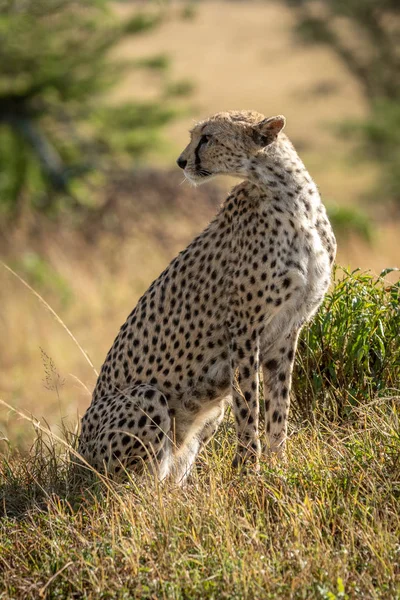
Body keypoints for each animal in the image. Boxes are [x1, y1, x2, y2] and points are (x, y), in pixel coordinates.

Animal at [78, 109, 334, 482]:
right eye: (194, 136)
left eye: (207, 138)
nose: (181, 161)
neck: (290, 196)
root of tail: (77, 454)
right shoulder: (243, 329)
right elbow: (248, 404)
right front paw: (249, 472)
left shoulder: (287, 331)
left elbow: (278, 407)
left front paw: (280, 468)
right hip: (145, 398)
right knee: (137, 488)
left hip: (208, 415)